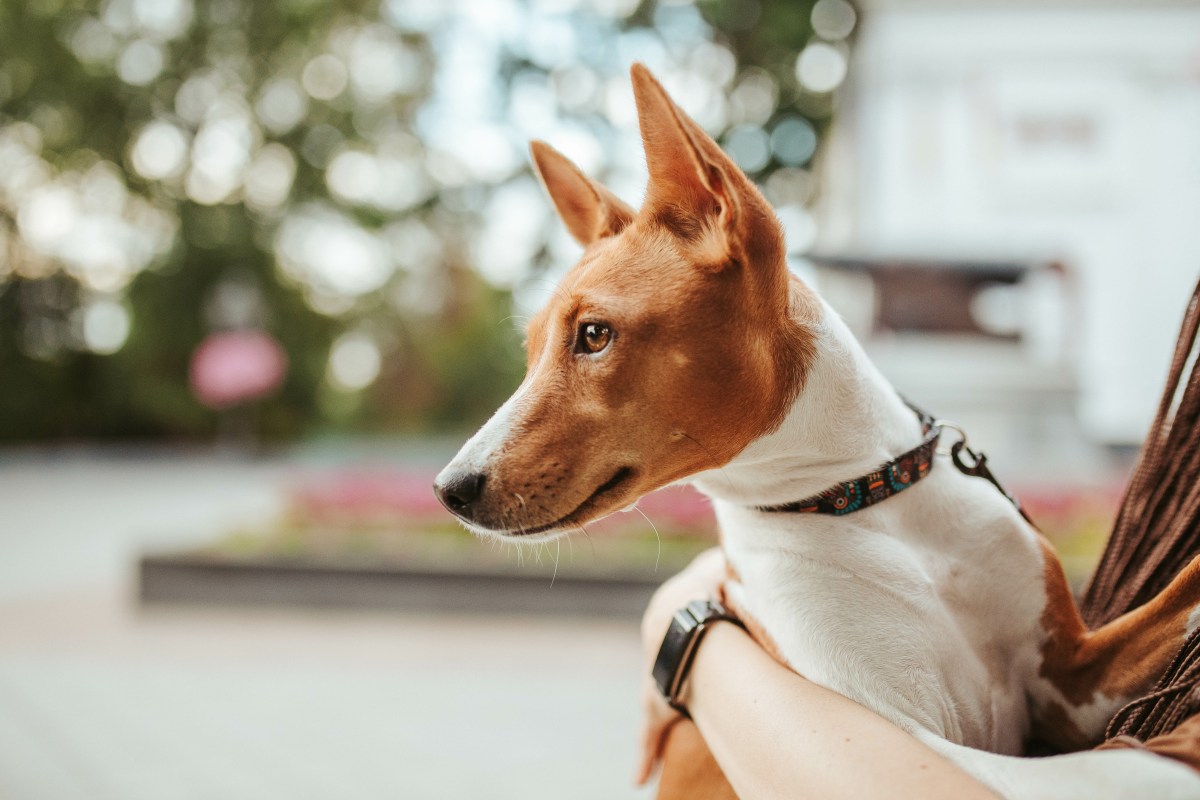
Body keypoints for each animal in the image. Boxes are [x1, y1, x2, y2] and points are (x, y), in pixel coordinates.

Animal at [436, 65, 1200, 796]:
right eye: (533, 350)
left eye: (593, 335)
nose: (450, 489)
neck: (865, 499)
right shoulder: (894, 732)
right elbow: (1107, 768)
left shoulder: (1072, 678)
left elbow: (1178, 603)